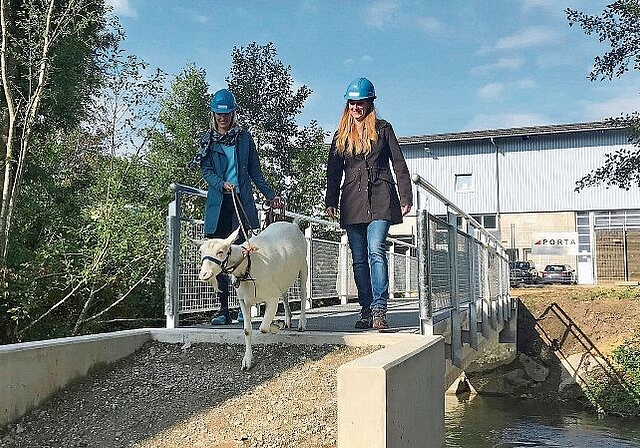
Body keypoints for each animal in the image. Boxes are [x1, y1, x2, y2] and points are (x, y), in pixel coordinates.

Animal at [198, 221, 308, 372]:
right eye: (201, 252)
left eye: (220, 252)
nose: (204, 274)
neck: (247, 265)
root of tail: (292, 224)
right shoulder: (244, 301)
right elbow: (247, 330)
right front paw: (247, 361)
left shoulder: (271, 297)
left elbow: (263, 327)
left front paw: (276, 325)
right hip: (282, 278)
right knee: (285, 295)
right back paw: (288, 319)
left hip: (303, 265)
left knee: (303, 293)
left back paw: (301, 323)